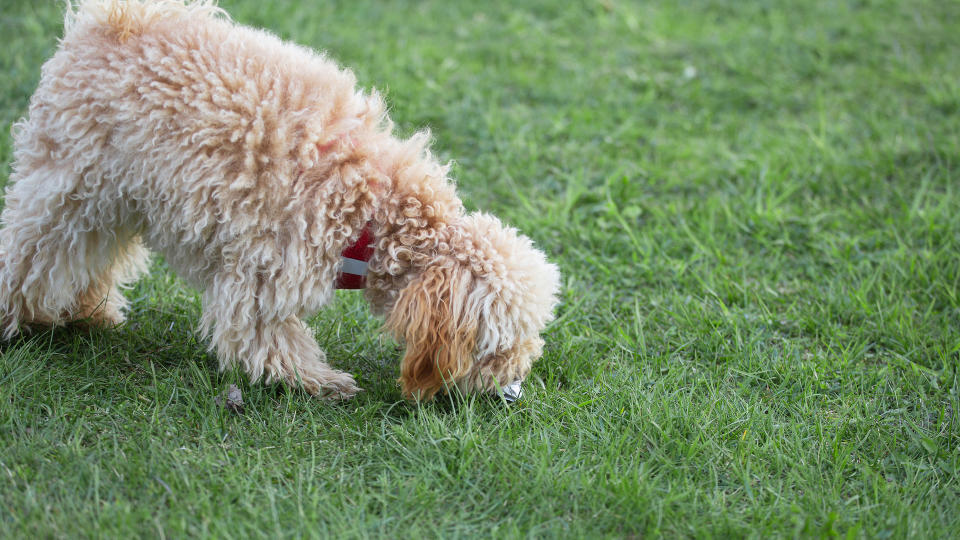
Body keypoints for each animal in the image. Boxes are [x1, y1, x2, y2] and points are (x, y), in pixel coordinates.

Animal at [0, 1, 564, 400]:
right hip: (68, 184)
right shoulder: (266, 263)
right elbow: (264, 337)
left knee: (85, 256)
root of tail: (109, 21)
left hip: (115, 195)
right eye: (498, 347)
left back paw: (86, 311)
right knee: (29, 254)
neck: (374, 207)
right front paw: (318, 380)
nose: (516, 384)